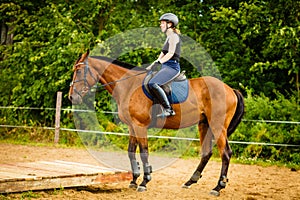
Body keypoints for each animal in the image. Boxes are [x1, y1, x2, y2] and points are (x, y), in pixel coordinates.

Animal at [69, 50, 244, 196]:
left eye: (79, 71)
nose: (72, 97)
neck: (128, 86)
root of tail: (230, 89)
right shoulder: (132, 126)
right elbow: (131, 151)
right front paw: (134, 180)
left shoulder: (140, 126)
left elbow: (144, 152)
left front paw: (144, 182)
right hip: (204, 125)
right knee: (206, 153)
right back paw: (190, 182)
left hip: (217, 125)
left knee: (225, 153)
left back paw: (217, 187)